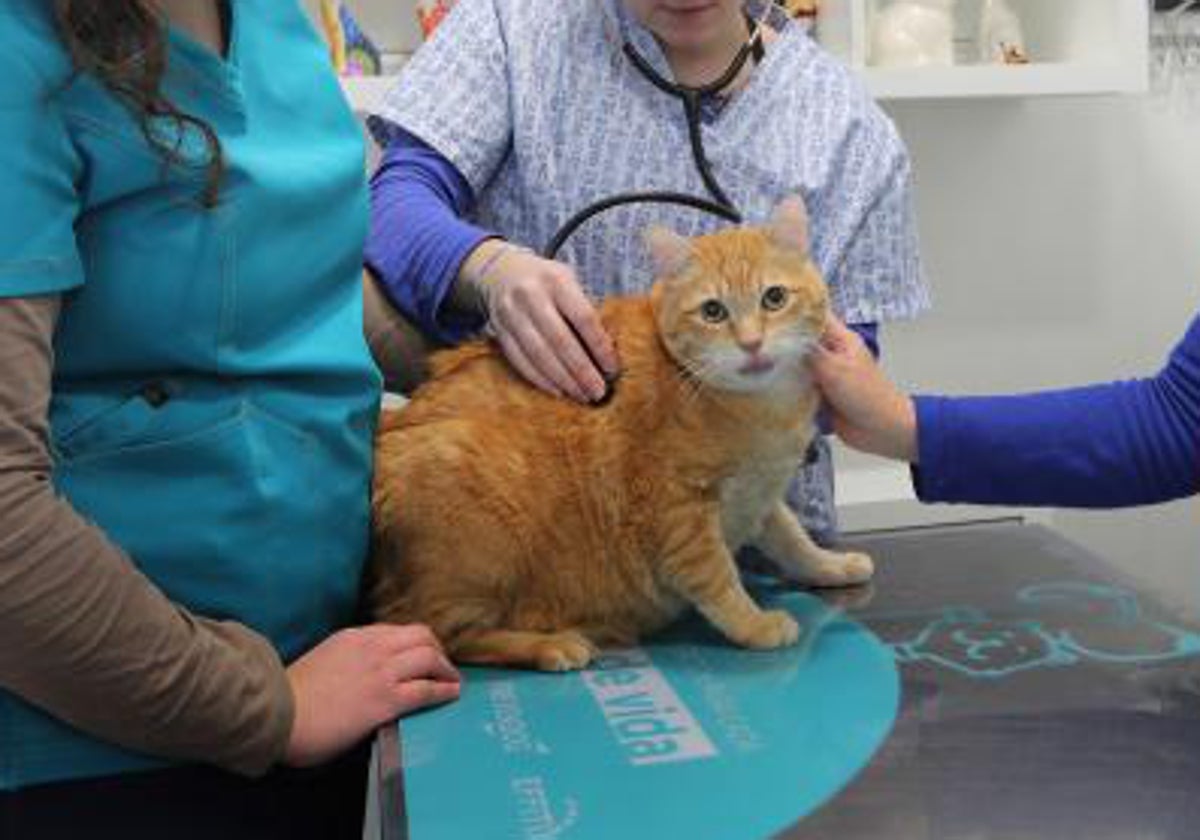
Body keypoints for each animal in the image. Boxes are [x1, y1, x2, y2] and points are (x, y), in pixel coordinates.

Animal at [369, 195, 868, 667]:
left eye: (774, 298)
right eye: (713, 311)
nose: (751, 344)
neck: (763, 410)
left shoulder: (760, 493)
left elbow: (792, 538)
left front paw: (830, 565)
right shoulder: (677, 512)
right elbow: (718, 579)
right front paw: (754, 624)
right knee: (437, 632)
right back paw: (550, 645)